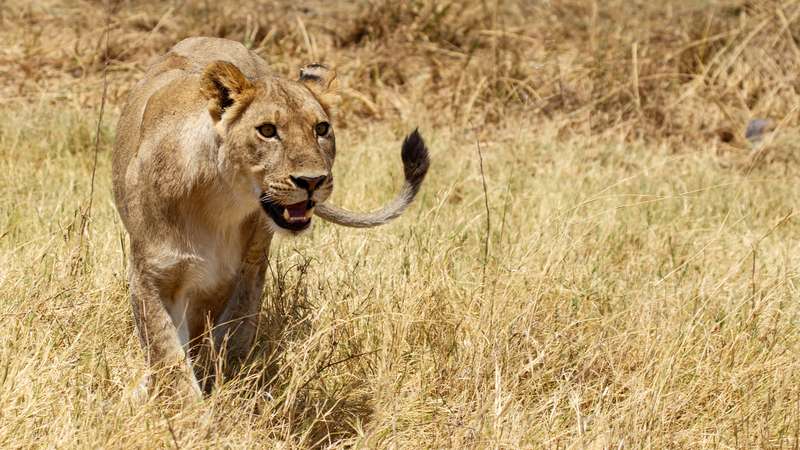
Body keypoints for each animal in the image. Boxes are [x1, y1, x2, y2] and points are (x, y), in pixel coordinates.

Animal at [111, 37, 429, 400]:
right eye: (267, 130)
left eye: (321, 128)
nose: (312, 181)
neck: (221, 202)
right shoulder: (151, 275)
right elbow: (167, 356)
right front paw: (191, 410)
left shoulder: (237, 273)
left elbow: (223, 336)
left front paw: (223, 387)